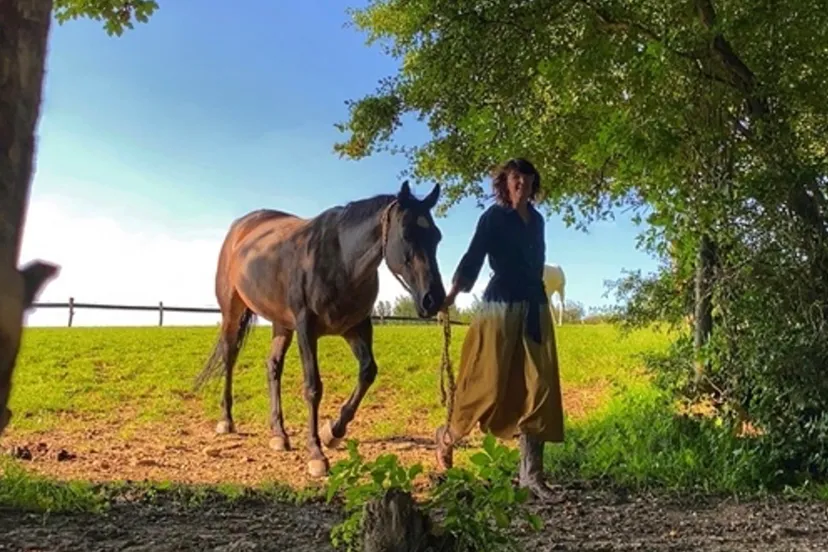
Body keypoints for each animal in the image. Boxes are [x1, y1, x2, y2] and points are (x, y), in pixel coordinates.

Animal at [194, 181, 446, 477]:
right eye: (406, 234)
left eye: (437, 237)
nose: (433, 299)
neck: (341, 260)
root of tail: (241, 229)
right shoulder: (307, 328)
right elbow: (313, 387)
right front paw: (316, 453)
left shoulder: (356, 327)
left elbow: (367, 372)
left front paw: (332, 432)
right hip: (232, 312)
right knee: (230, 358)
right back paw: (226, 420)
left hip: (282, 324)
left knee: (273, 367)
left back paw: (278, 433)